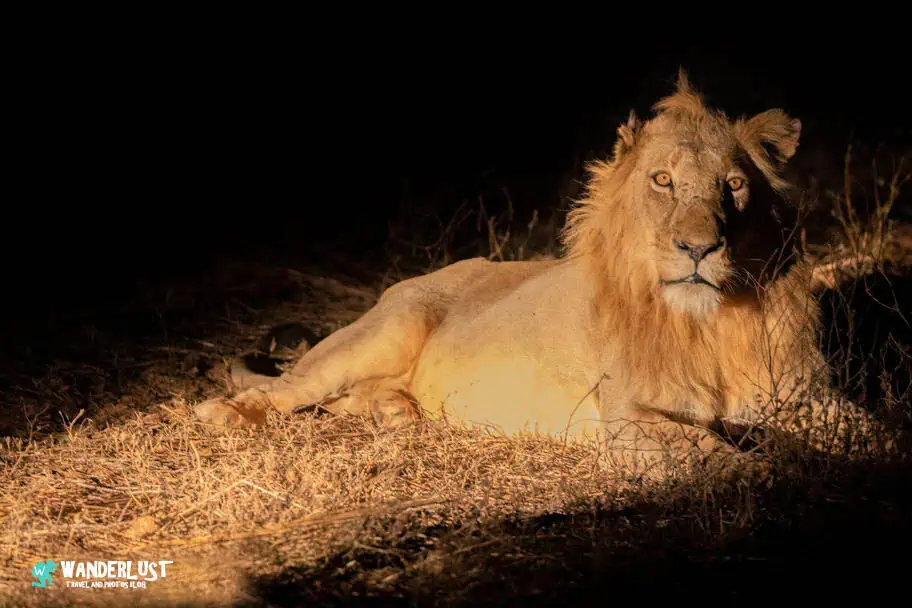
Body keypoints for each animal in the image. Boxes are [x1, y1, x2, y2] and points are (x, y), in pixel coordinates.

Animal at [193, 72, 873, 460]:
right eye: (662, 180)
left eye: (733, 185)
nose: (699, 249)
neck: (710, 324)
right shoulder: (630, 418)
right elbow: (733, 465)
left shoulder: (805, 398)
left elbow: (877, 431)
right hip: (382, 330)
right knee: (290, 388)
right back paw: (226, 414)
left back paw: (399, 414)